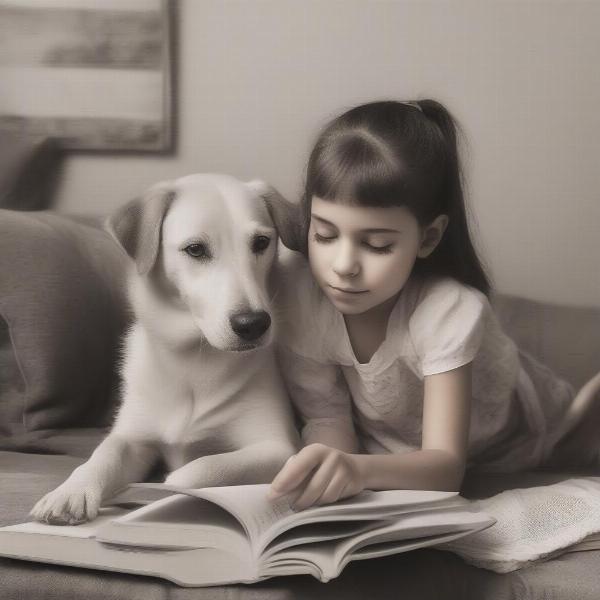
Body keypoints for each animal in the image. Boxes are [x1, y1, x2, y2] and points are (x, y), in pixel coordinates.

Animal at [31, 173, 304, 524]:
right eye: (195, 249)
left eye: (261, 243)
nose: (253, 324)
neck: (194, 359)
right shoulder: (133, 437)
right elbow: (103, 454)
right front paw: (70, 492)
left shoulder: (279, 447)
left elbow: (197, 470)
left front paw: (161, 489)